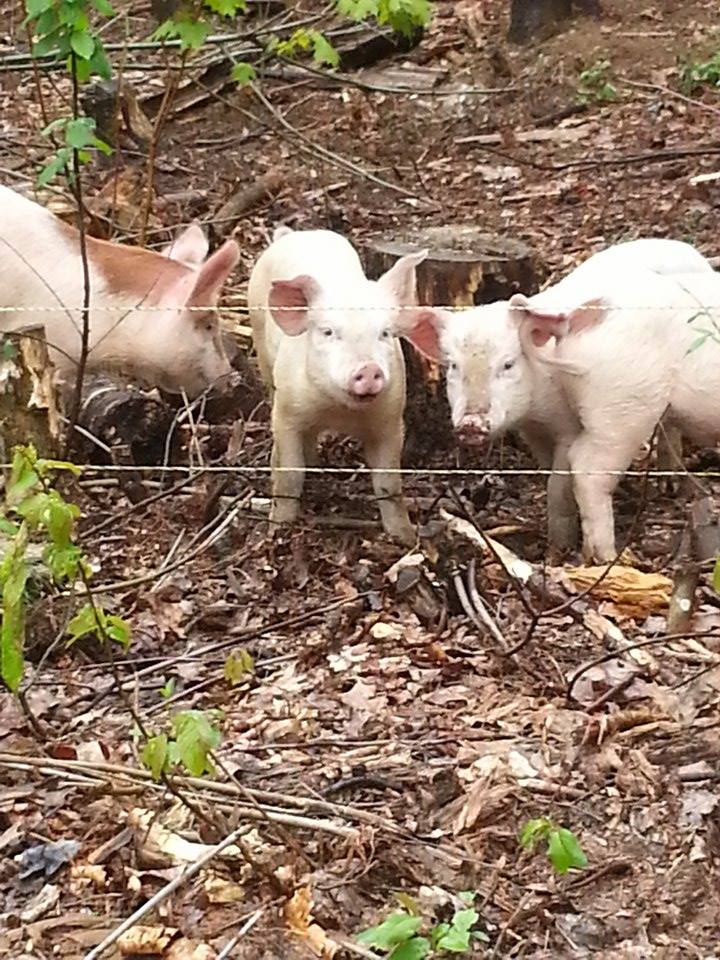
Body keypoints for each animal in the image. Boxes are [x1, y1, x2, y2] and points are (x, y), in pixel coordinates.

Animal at [247, 227, 428, 544]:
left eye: (385, 332)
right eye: (328, 332)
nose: (368, 369)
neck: (338, 412)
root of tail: (295, 233)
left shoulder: (391, 419)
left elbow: (389, 484)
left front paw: (406, 539)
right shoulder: (286, 413)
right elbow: (290, 475)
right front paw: (277, 531)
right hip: (260, 346)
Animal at [409, 239, 716, 560]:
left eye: (508, 364)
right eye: (454, 366)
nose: (470, 423)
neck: (535, 410)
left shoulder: (563, 426)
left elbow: (558, 481)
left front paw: (558, 548)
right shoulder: (541, 431)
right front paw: (558, 549)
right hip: (625, 410)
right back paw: (607, 558)